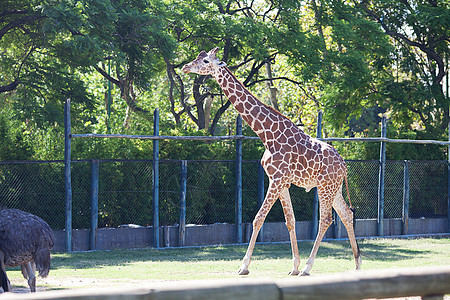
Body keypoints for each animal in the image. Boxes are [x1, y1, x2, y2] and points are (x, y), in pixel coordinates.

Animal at [181, 48, 360, 276]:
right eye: (197, 56)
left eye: (205, 60)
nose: (186, 67)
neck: (267, 135)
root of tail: (344, 165)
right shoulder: (281, 182)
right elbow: (290, 221)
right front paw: (293, 266)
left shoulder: (277, 179)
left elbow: (258, 218)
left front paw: (244, 266)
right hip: (333, 188)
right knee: (346, 214)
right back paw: (357, 263)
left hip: (325, 187)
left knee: (326, 219)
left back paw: (309, 267)